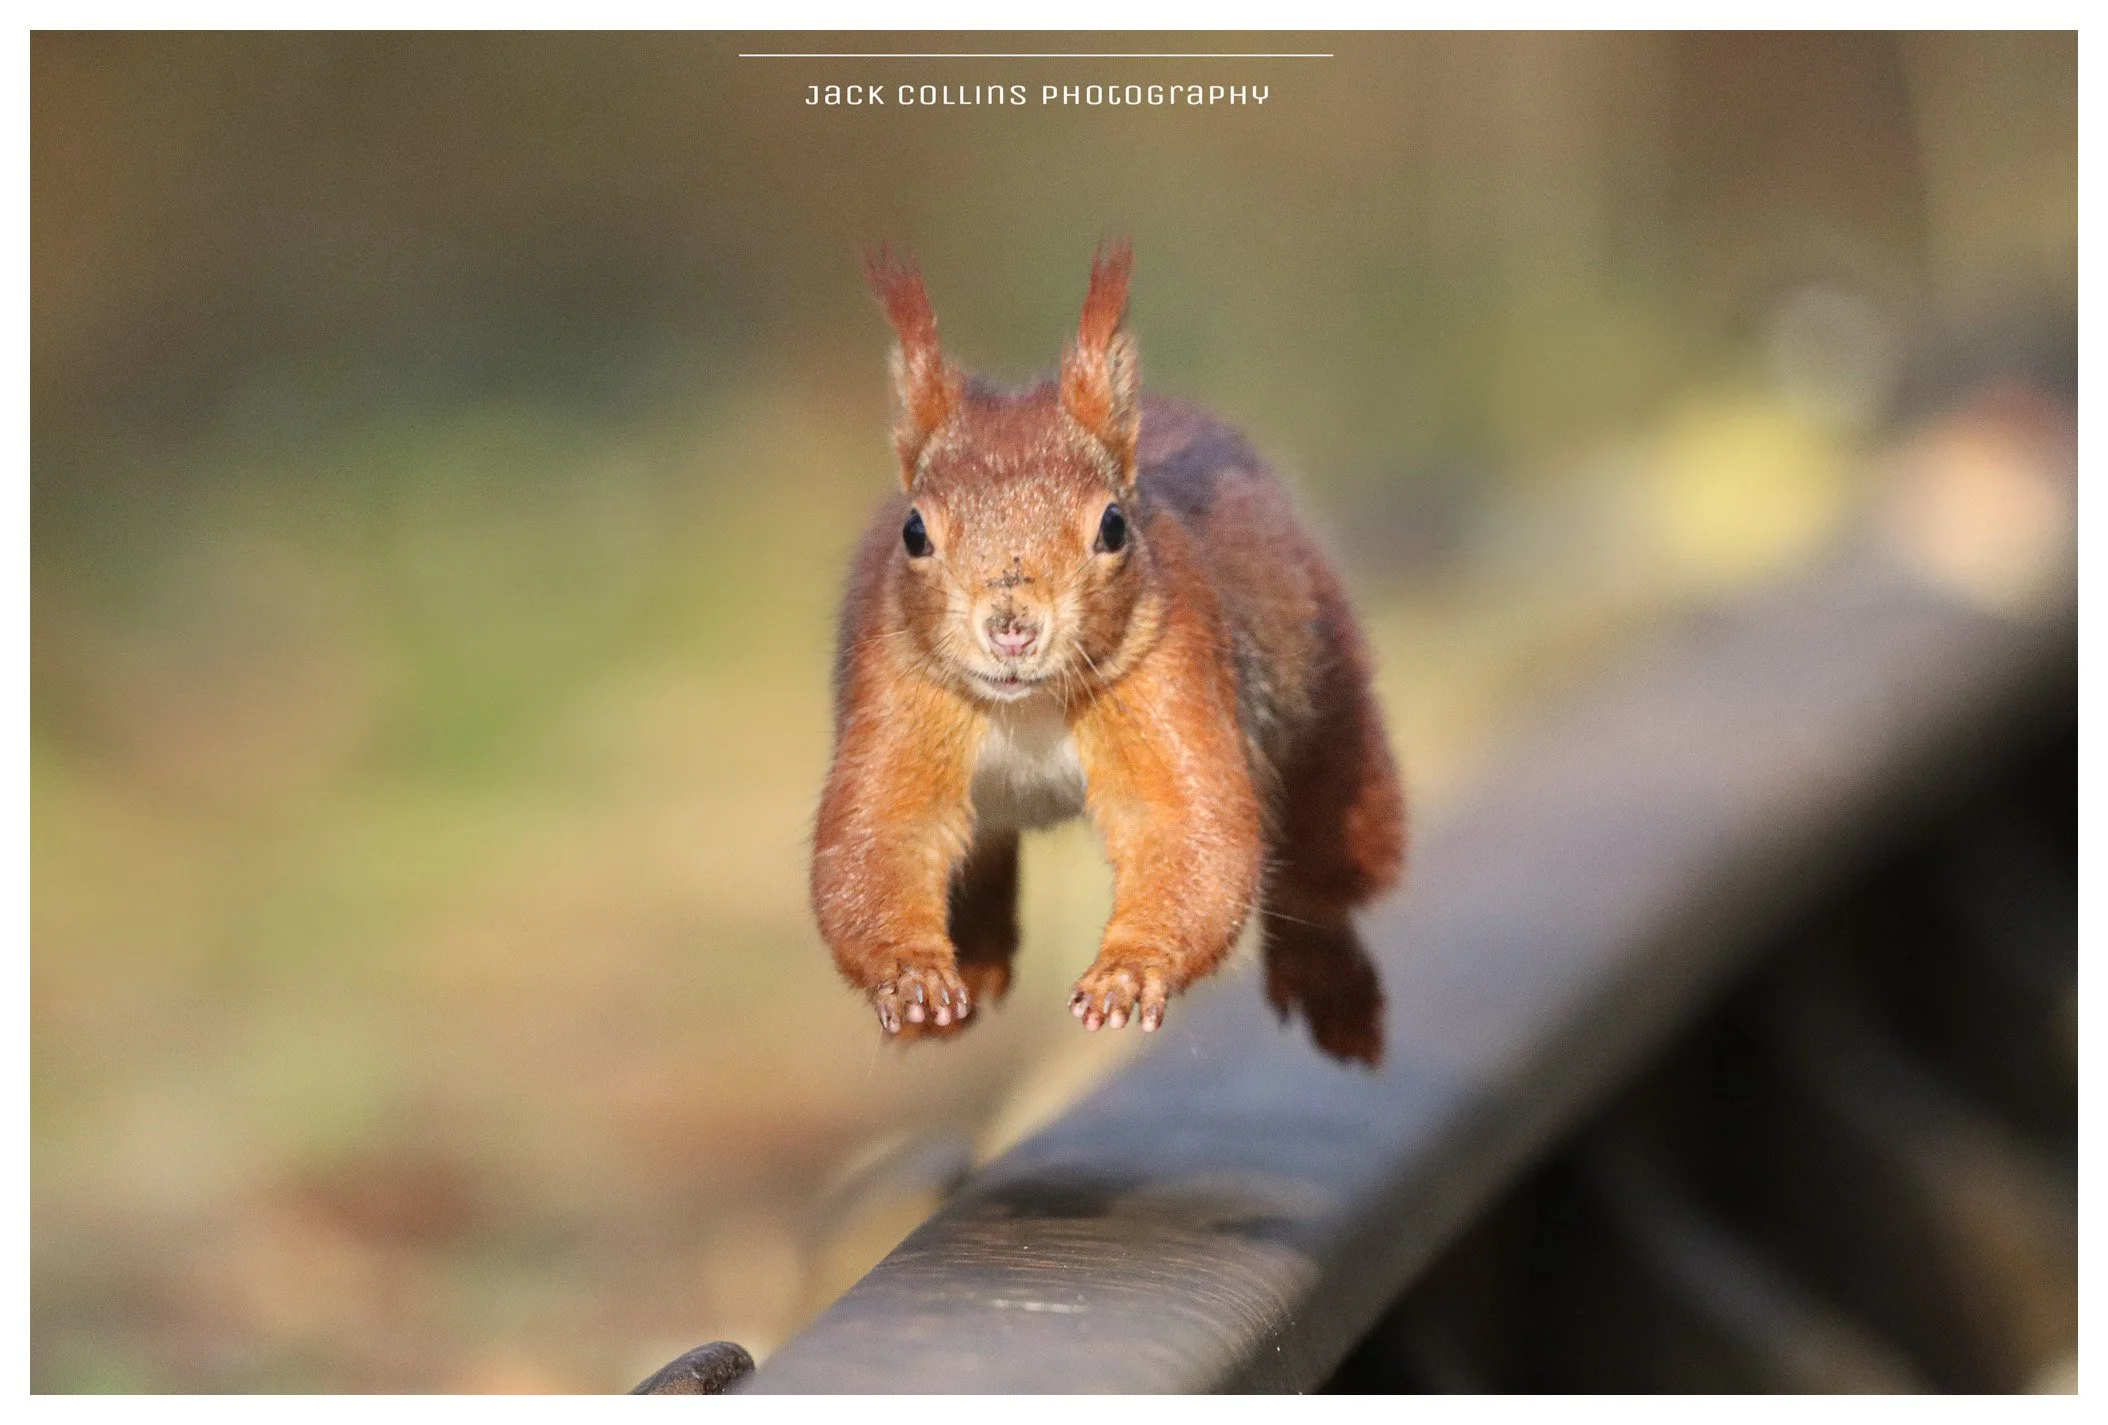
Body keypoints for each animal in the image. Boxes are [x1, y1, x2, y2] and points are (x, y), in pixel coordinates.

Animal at [811, 243, 1406, 1064]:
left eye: (1114, 525)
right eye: (914, 532)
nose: (1012, 626)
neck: (1026, 704)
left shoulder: (1172, 674)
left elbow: (1189, 827)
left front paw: (1129, 971)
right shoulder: (896, 692)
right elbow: (877, 835)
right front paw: (912, 978)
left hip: (1329, 718)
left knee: (1325, 872)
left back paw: (1335, 987)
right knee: (977, 854)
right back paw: (971, 967)